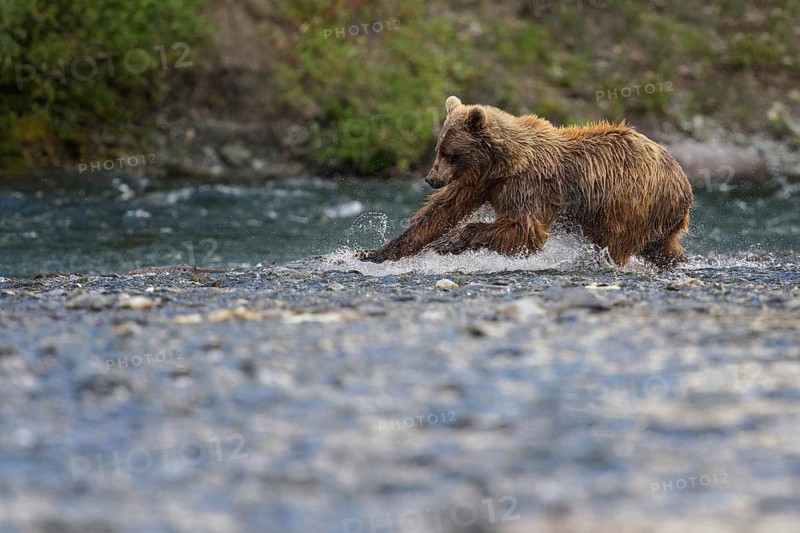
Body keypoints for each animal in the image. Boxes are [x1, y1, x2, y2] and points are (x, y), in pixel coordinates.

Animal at [357, 96, 692, 269]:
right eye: (440, 149)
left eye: (450, 153)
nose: (431, 179)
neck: (502, 163)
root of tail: (684, 183)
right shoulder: (480, 181)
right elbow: (440, 212)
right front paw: (374, 252)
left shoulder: (527, 185)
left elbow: (524, 228)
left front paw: (449, 241)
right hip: (656, 219)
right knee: (662, 248)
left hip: (629, 204)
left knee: (616, 242)